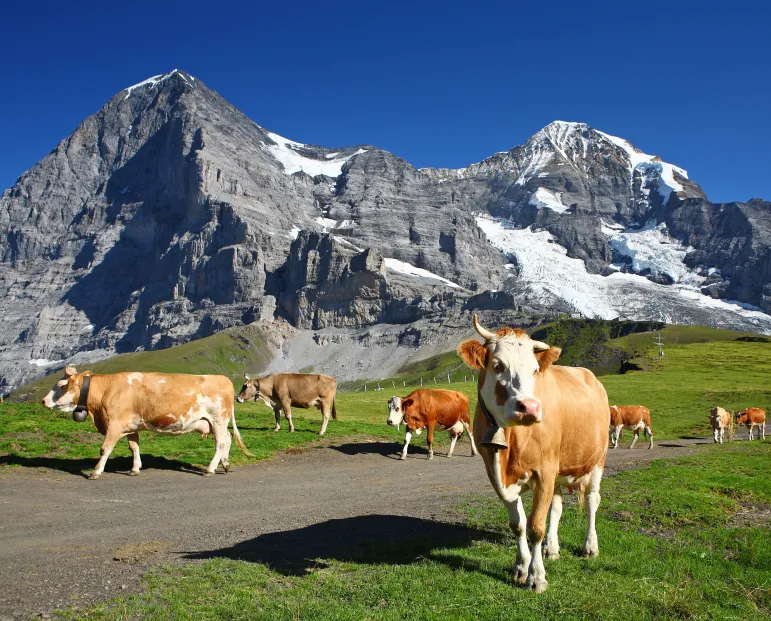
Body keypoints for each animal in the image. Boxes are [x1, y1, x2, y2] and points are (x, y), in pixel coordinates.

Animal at [40, 366, 252, 478]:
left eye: (61, 385)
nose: (43, 400)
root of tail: (223, 379)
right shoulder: (130, 426)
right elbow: (134, 447)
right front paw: (135, 468)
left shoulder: (114, 424)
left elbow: (105, 449)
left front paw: (96, 471)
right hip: (216, 422)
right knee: (228, 439)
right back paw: (225, 464)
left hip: (218, 418)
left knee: (221, 442)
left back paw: (210, 469)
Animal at [458, 314, 608, 592]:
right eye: (497, 365)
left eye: (535, 369)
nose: (529, 407)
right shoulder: (496, 474)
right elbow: (518, 525)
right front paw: (521, 566)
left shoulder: (545, 471)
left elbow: (535, 526)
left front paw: (536, 577)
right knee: (557, 507)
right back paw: (552, 548)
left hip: (598, 459)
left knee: (593, 500)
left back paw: (590, 547)